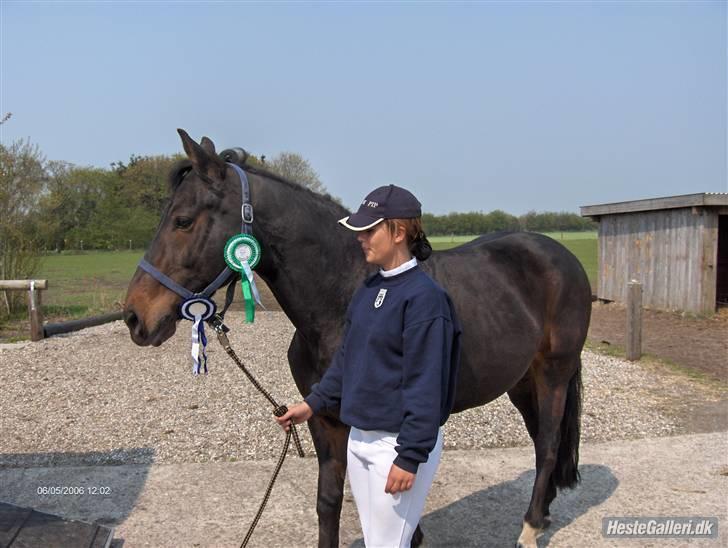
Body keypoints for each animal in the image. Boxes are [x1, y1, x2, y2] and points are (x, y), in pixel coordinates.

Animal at [125, 130, 592, 548]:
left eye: (183, 221)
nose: (134, 316)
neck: (343, 297)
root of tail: (560, 255)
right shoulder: (323, 420)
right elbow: (329, 502)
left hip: (553, 375)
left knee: (548, 444)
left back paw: (530, 528)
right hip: (522, 382)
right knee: (541, 444)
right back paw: (544, 514)